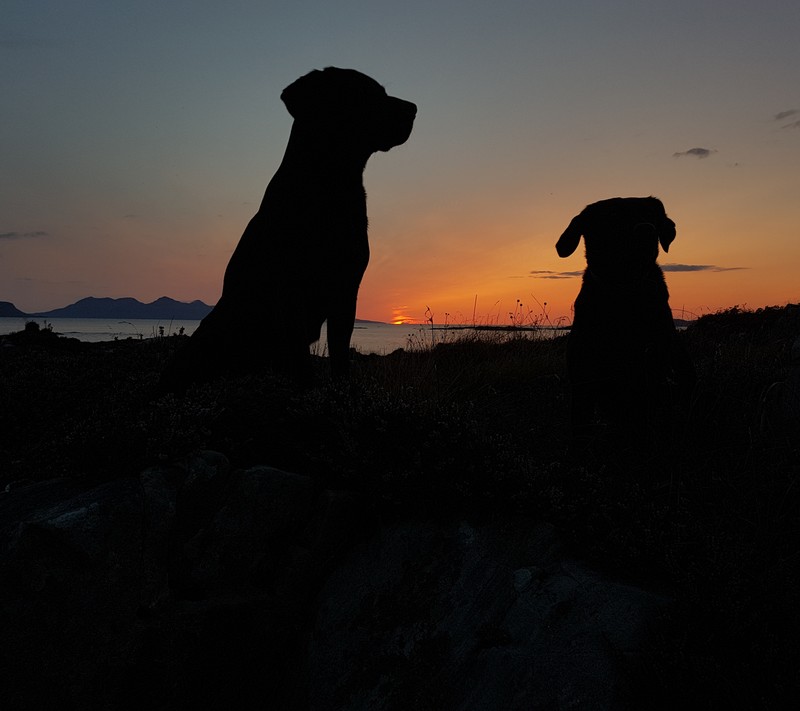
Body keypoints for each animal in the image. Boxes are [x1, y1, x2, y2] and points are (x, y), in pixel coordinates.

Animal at [159, 68, 416, 394]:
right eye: (367, 93)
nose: (414, 109)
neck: (330, 187)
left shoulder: (346, 286)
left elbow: (340, 352)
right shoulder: (292, 288)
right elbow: (300, 354)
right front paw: (308, 387)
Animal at [556, 196, 692, 440]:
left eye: (650, 215)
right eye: (612, 216)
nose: (647, 231)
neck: (625, 295)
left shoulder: (647, 380)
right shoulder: (582, 381)